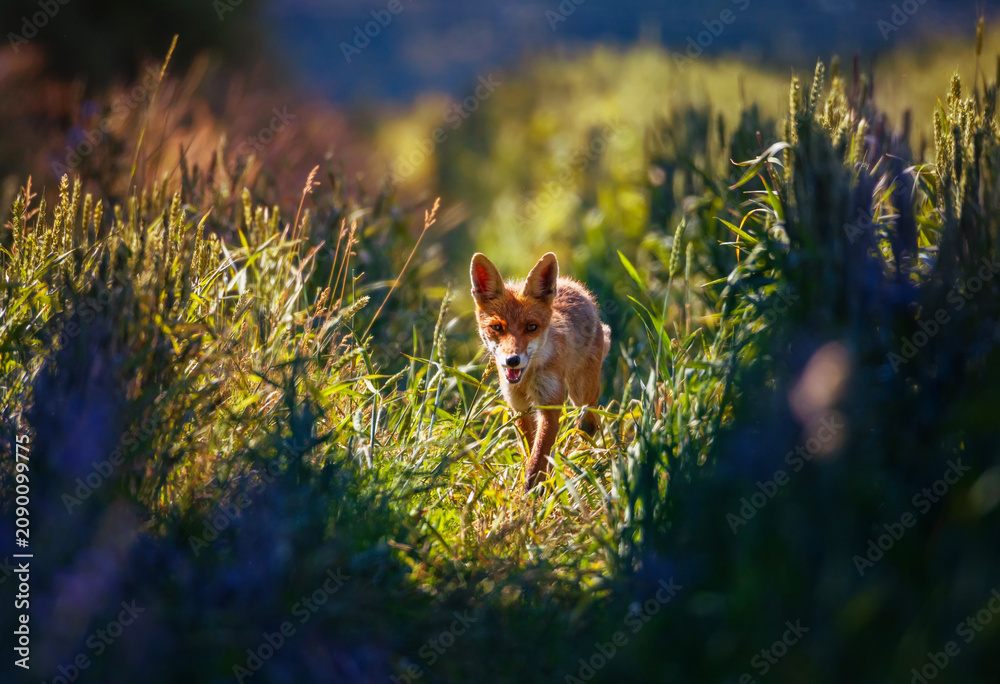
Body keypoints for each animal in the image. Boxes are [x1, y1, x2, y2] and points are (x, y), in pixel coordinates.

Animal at [470, 251, 611, 491]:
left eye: (531, 327)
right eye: (497, 327)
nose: (512, 360)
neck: (526, 379)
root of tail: (576, 286)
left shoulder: (550, 405)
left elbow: (536, 463)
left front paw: (530, 495)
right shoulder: (518, 406)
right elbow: (530, 451)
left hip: (580, 394)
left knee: (589, 424)